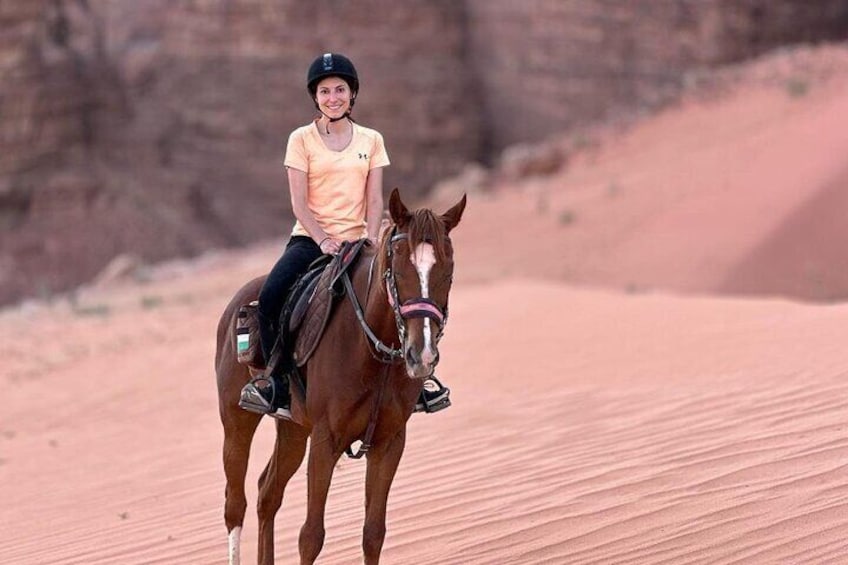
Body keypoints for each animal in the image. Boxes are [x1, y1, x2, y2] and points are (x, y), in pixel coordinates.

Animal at [212, 189, 464, 564]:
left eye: (448, 269)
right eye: (397, 267)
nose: (421, 354)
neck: (371, 350)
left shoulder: (390, 442)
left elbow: (374, 534)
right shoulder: (325, 439)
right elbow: (311, 536)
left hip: (292, 428)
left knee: (267, 493)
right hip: (236, 420)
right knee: (235, 504)